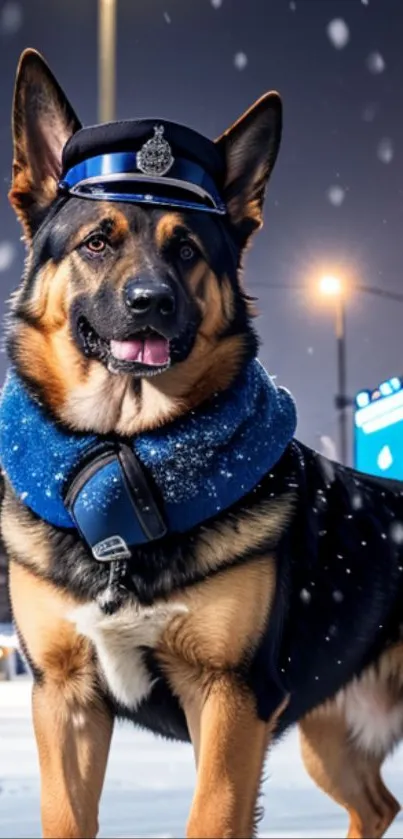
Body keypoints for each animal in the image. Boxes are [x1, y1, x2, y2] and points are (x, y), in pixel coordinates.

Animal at [3, 47, 403, 839]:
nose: (150, 302)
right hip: (330, 734)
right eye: (98, 241)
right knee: (378, 804)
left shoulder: (229, 700)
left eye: (186, 248)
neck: (123, 461)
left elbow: (212, 817)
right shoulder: (65, 700)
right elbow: (66, 817)